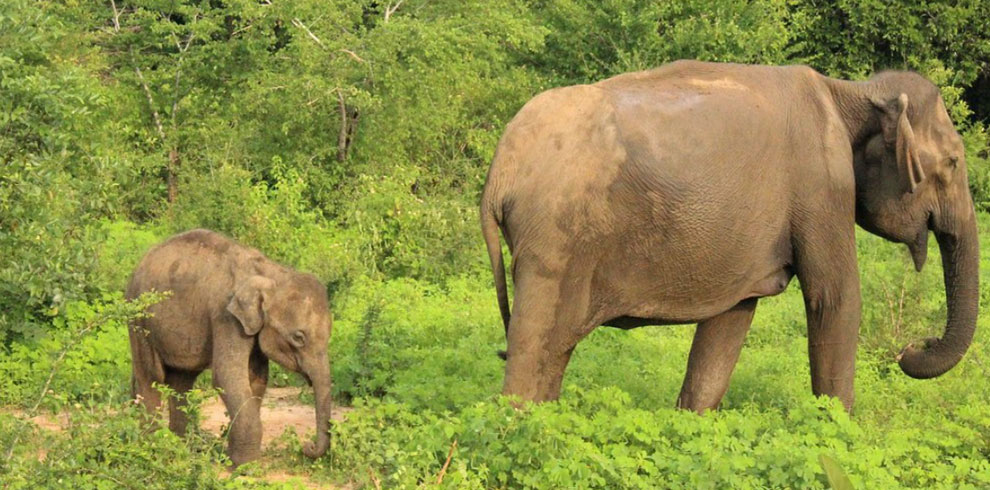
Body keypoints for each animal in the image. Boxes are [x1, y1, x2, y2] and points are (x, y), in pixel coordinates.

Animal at [127, 228, 334, 466]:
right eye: (299, 337)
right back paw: (152, 448)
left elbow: (256, 378)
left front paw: (233, 457)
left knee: (181, 380)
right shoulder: (226, 316)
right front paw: (246, 465)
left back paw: (183, 446)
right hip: (138, 317)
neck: (271, 272)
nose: (308, 446)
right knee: (151, 377)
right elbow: (228, 377)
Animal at [482, 61, 984, 414]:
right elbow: (834, 298)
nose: (912, 348)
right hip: (555, 237)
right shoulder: (823, 182)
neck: (852, 90)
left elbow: (732, 317)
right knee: (535, 347)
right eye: (954, 163)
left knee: (552, 351)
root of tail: (499, 172)